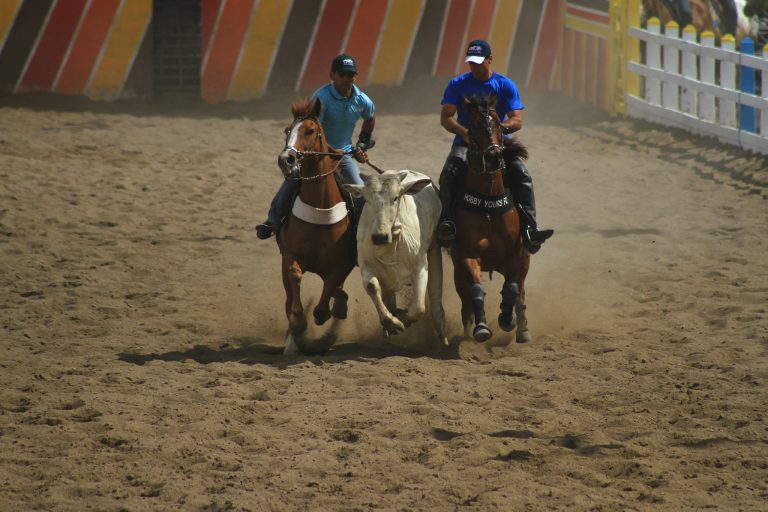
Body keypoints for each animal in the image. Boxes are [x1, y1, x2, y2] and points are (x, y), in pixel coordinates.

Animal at [276, 99, 356, 356]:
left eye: (310, 130)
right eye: (287, 130)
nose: (286, 159)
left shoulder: (340, 264)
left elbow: (325, 301)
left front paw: (329, 311)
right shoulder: (290, 254)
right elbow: (295, 277)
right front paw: (299, 322)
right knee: (288, 298)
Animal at [344, 170, 448, 346]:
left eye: (395, 197)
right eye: (367, 199)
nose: (379, 237)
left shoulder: (420, 265)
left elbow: (418, 308)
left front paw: (401, 320)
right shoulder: (366, 264)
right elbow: (372, 287)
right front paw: (392, 323)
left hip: (434, 251)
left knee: (435, 300)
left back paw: (443, 339)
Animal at [452, 96, 532, 344]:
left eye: (499, 124)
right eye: (473, 126)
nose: (494, 156)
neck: (488, 204)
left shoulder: (515, 255)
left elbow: (512, 288)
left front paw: (508, 320)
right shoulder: (467, 256)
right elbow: (476, 289)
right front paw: (481, 328)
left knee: (520, 290)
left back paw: (522, 329)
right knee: (465, 303)